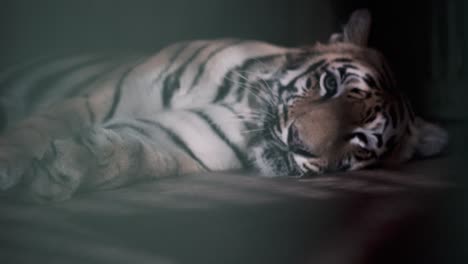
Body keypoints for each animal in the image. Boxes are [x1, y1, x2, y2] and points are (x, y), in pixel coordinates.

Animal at [0, 9, 446, 201]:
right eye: (330, 83)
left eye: (359, 141)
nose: (297, 143)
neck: (244, 101)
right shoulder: (104, 97)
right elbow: (40, 126)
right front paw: (12, 163)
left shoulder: (186, 136)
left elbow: (140, 152)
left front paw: (69, 167)